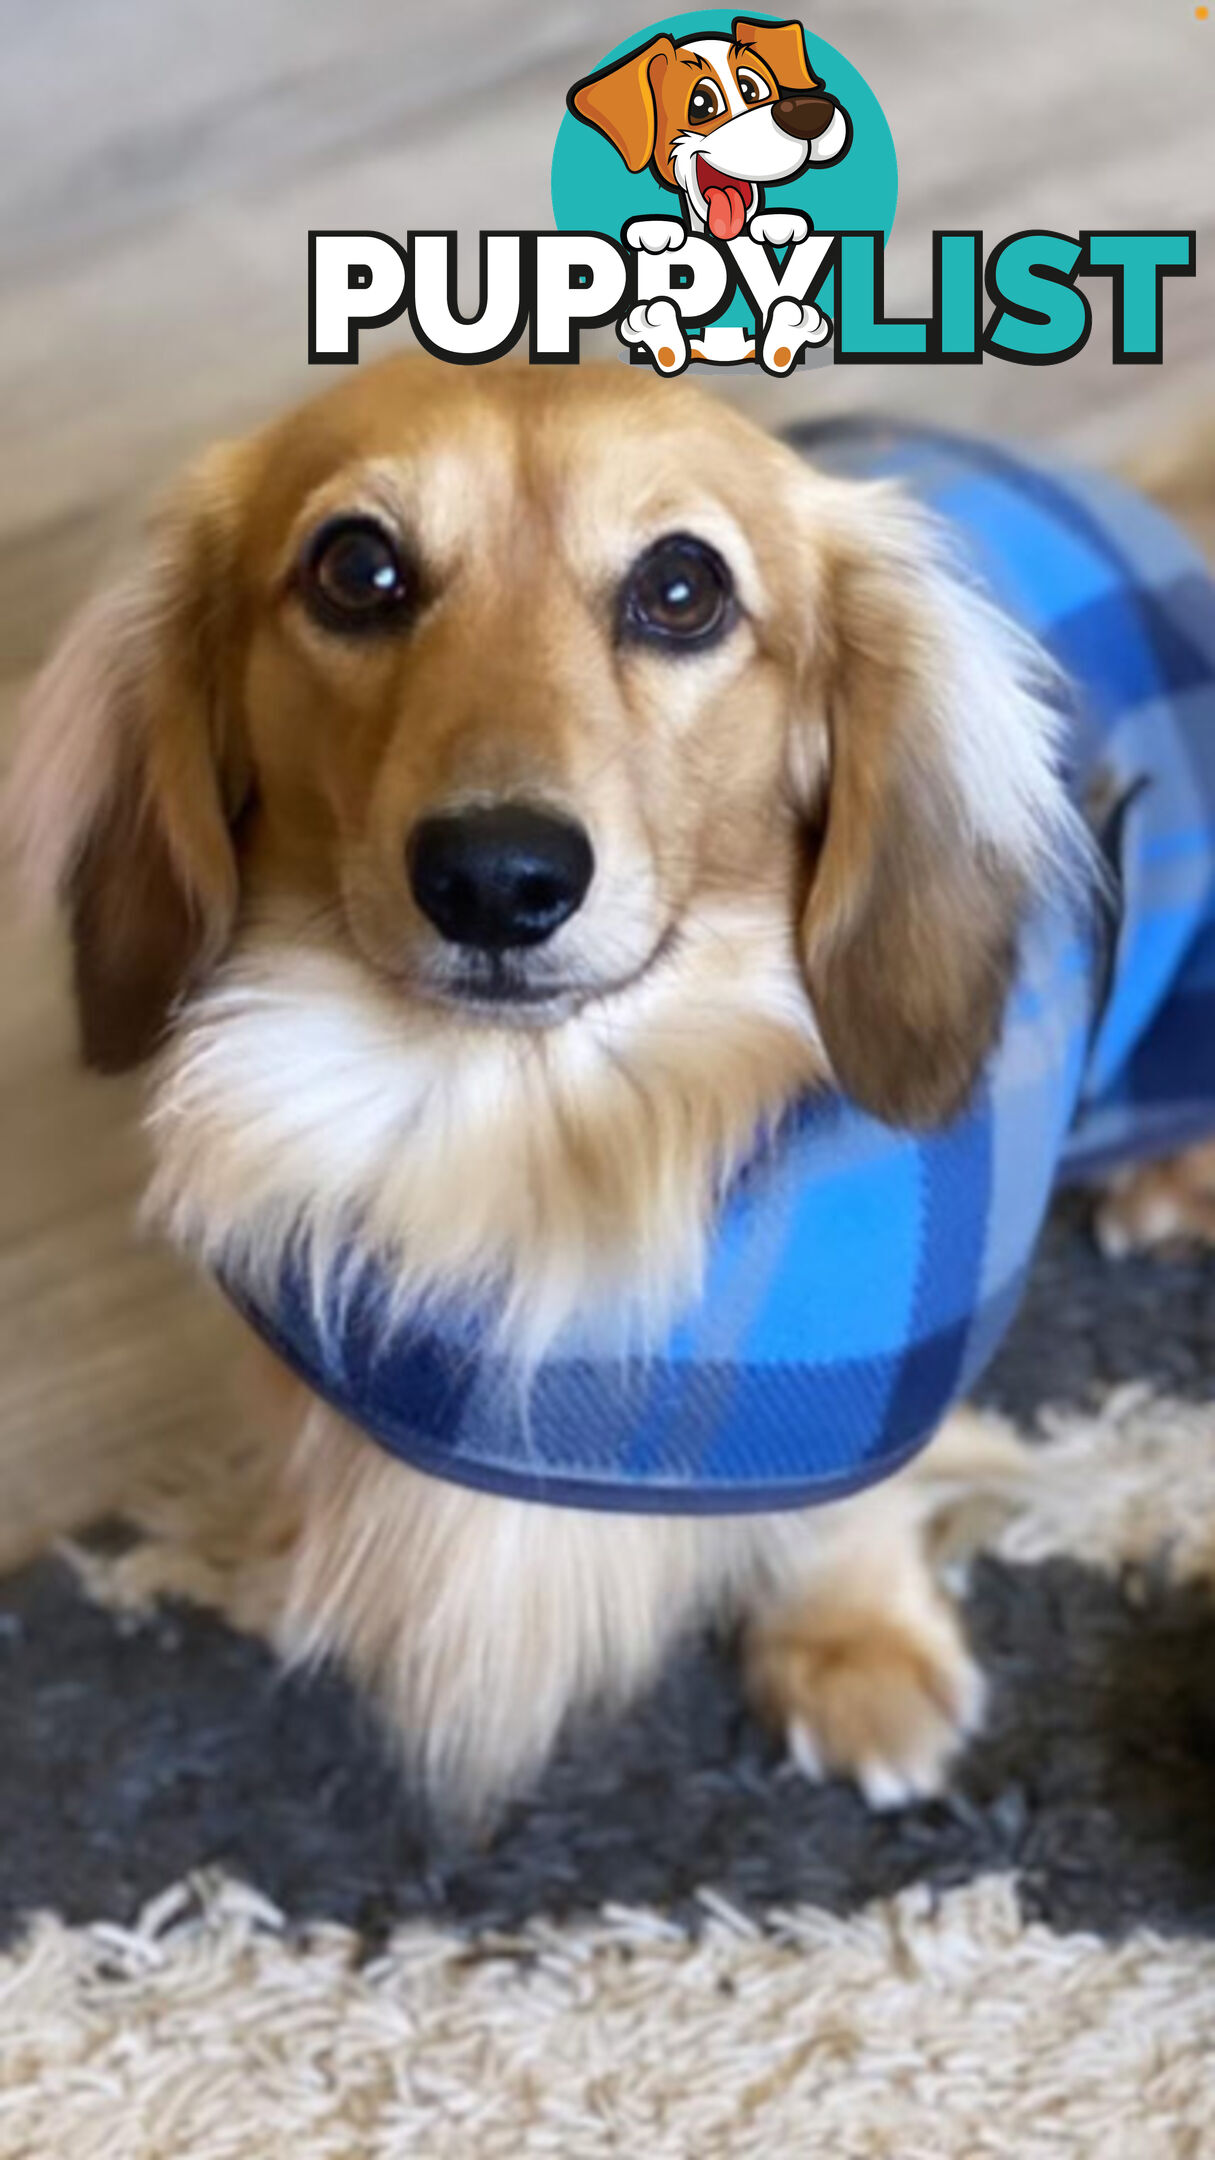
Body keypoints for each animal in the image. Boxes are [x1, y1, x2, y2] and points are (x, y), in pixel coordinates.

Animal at [11, 362, 1210, 1814]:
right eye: (356, 567)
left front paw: (854, 1650)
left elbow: (846, 1508)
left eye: (682, 588)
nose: (495, 879)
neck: (516, 1137)